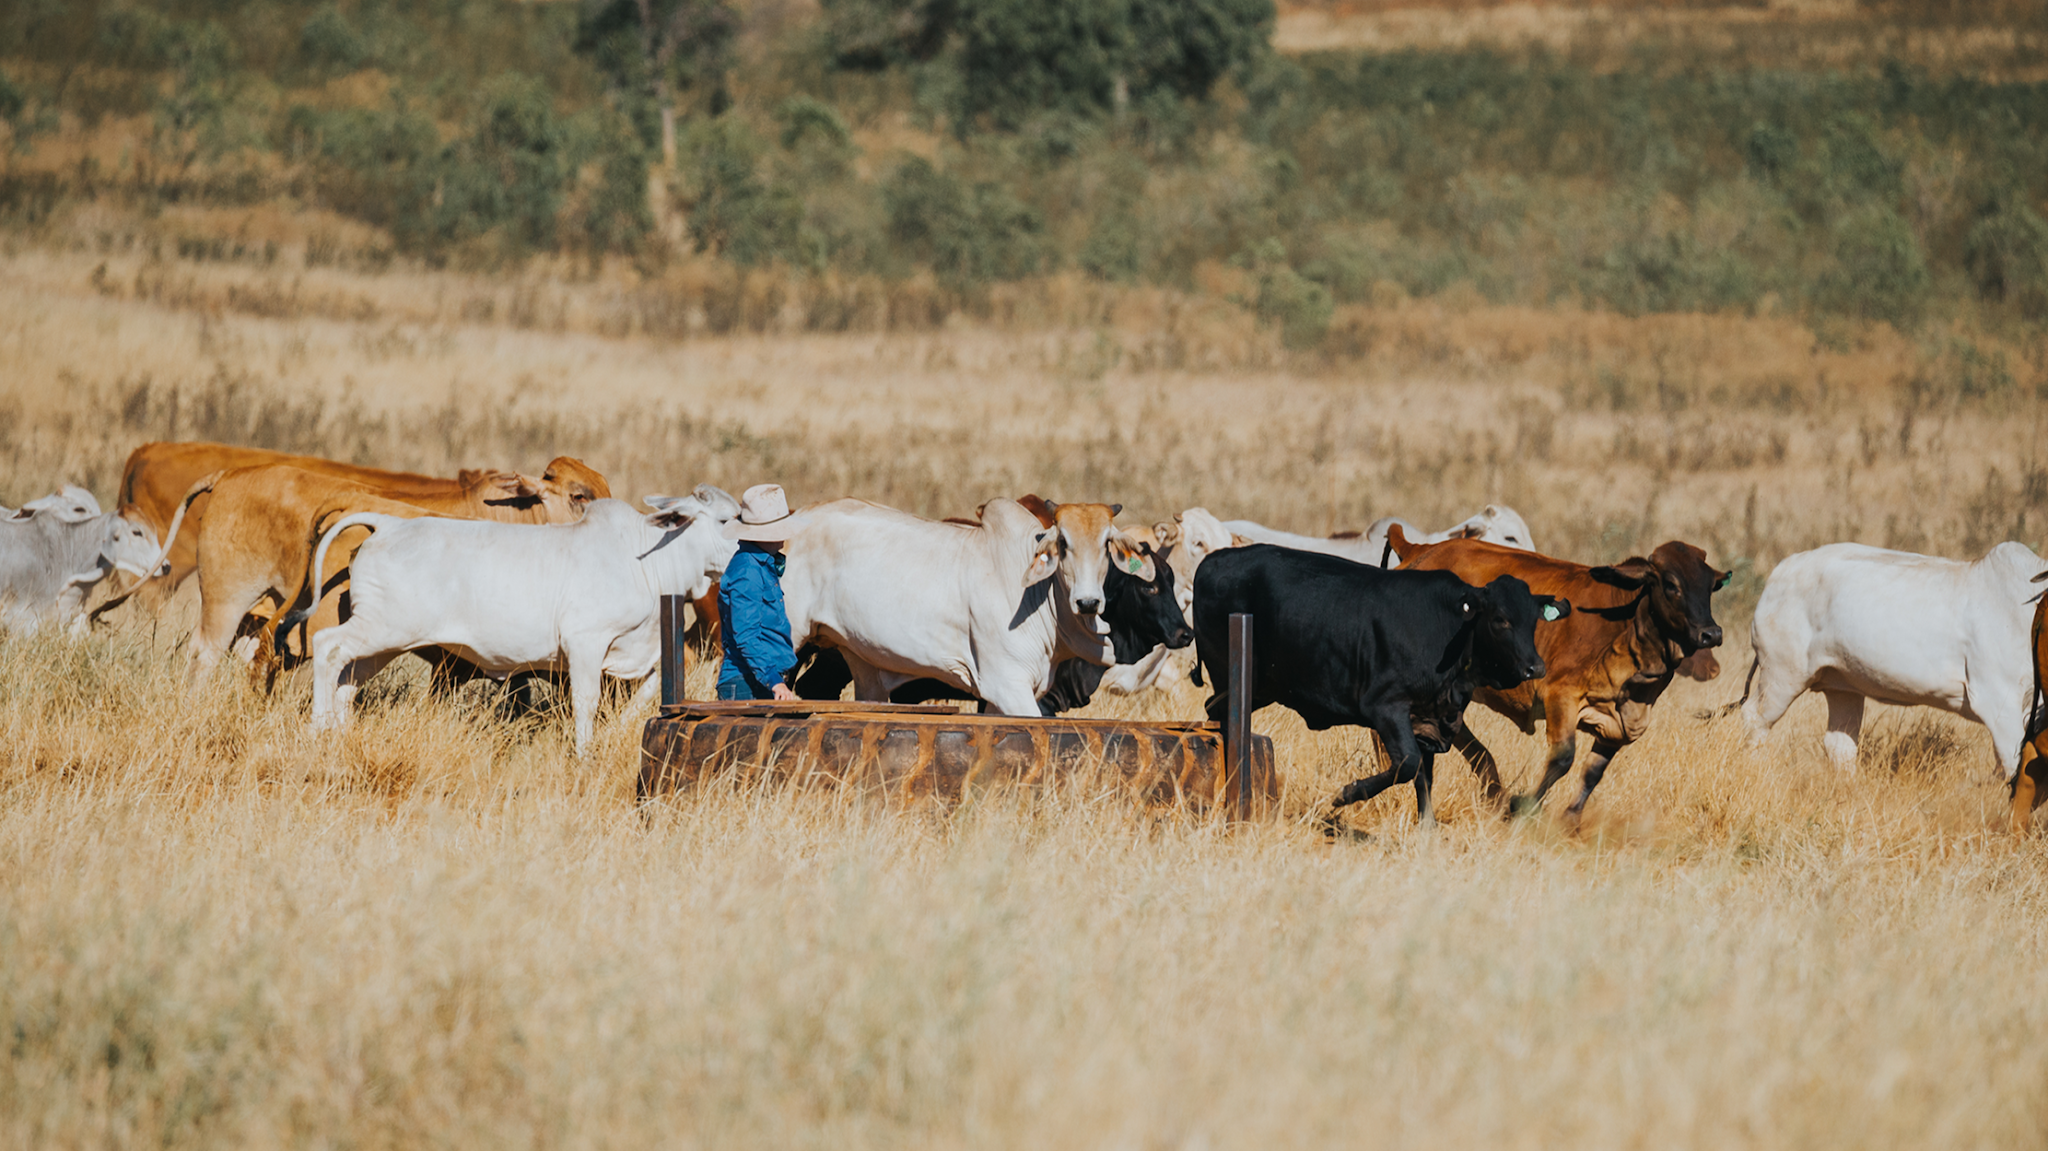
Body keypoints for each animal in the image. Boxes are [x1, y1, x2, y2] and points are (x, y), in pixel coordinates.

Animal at [299, 485, 741, 750]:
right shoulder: (585, 643)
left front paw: (615, 732)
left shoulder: (637, 650)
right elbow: (587, 700)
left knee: (348, 677)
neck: (646, 559)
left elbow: (648, 690)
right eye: (724, 520)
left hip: (385, 640)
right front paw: (585, 752)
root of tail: (388, 525)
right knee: (327, 647)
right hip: (382, 629)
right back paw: (319, 728)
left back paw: (340, 733)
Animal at [1187, 545, 1564, 824]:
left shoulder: (1429, 720)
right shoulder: (1385, 707)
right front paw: (1346, 795)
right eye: (1500, 619)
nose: (1535, 667)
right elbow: (1407, 764)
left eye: (1534, 620)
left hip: (1261, 687)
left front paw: (1427, 828)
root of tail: (1213, 559)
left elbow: (1424, 776)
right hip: (1233, 677)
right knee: (1223, 717)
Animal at [1376, 524, 1728, 819]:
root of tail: (1417, 549)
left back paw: (1492, 791)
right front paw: (1524, 808)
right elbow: (1563, 759)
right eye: (1671, 585)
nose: (1711, 634)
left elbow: (1593, 772)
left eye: (1711, 586)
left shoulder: (1621, 725)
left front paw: (1570, 820)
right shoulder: (1561, 696)